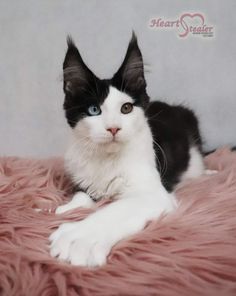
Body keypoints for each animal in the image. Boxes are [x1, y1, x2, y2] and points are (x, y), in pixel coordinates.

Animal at [49, 33, 205, 268]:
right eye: (94, 110)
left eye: (126, 108)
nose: (113, 128)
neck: (107, 158)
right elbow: (82, 195)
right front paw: (65, 208)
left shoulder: (153, 193)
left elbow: (116, 209)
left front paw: (80, 238)